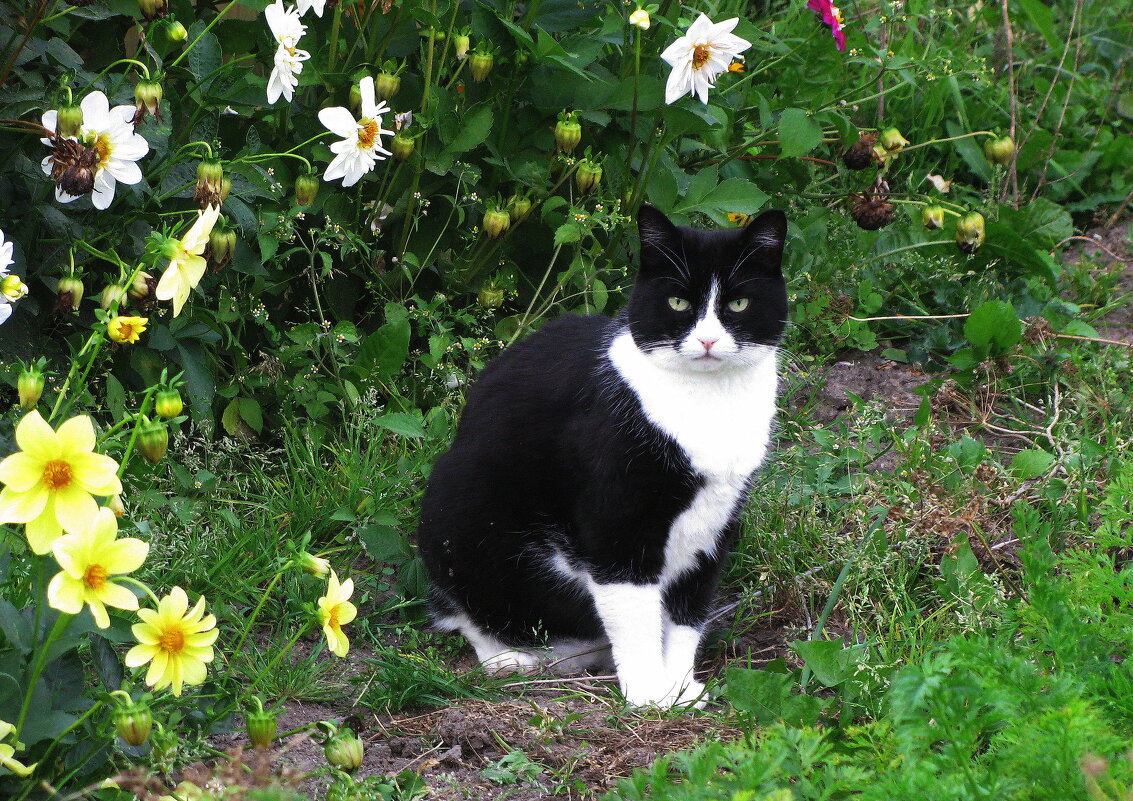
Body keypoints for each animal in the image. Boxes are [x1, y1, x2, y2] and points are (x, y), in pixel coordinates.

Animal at [416, 205, 788, 706]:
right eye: (677, 303)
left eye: (738, 304)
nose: (708, 341)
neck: (709, 404)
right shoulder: (617, 520)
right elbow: (634, 615)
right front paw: (648, 695)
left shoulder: (716, 521)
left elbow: (688, 612)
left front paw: (680, 687)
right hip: (457, 515)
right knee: (461, 610)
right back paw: (507, 658)